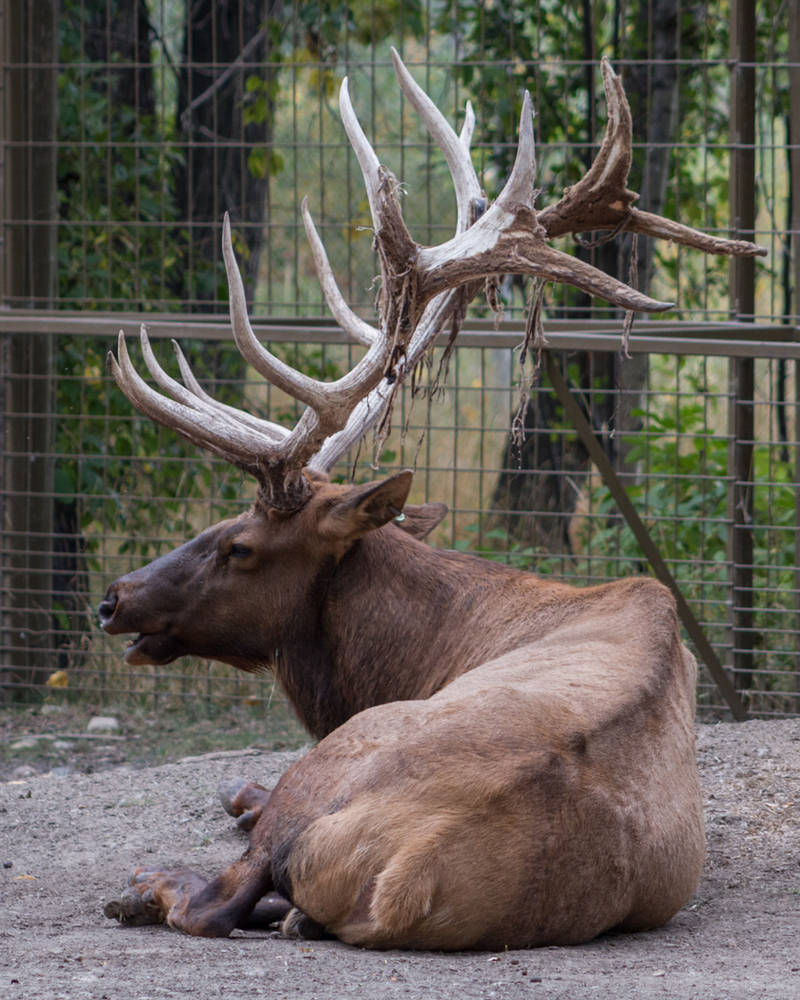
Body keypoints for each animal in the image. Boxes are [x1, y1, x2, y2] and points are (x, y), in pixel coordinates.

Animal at [100, 53, 763, 949]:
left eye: (239, 545)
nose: (115, 597)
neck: (414, 651)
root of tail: (406, 876)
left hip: (337, 764)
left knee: (221, 895)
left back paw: (146, 884)